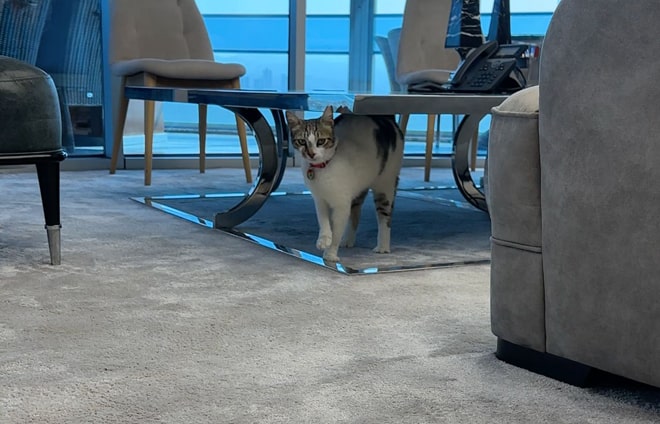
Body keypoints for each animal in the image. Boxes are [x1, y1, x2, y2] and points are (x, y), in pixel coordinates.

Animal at [285, 105, 404, 262]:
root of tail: (385, 118)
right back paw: (347, 240)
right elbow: (323, 220)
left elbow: (336, 230)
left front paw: (330, 254)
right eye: (302, 141)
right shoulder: (320, 199)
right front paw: (324, 239)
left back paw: (383, 246)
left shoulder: (341, 204)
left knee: (385, 216)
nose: (311, 154)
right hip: (358, 189)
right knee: (355, 213)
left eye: (321, 141)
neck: (324, 168)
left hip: (385, 184)